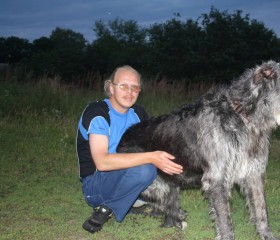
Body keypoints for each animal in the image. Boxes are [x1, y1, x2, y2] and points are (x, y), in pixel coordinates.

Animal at [117, 60, 280, 240]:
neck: (242, 115)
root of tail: (122, 140)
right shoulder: (217, 180)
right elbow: (225, 221)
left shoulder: (253, 174)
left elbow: (261, 210)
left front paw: (267, 234)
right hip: (155, 185)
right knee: (163, 206)